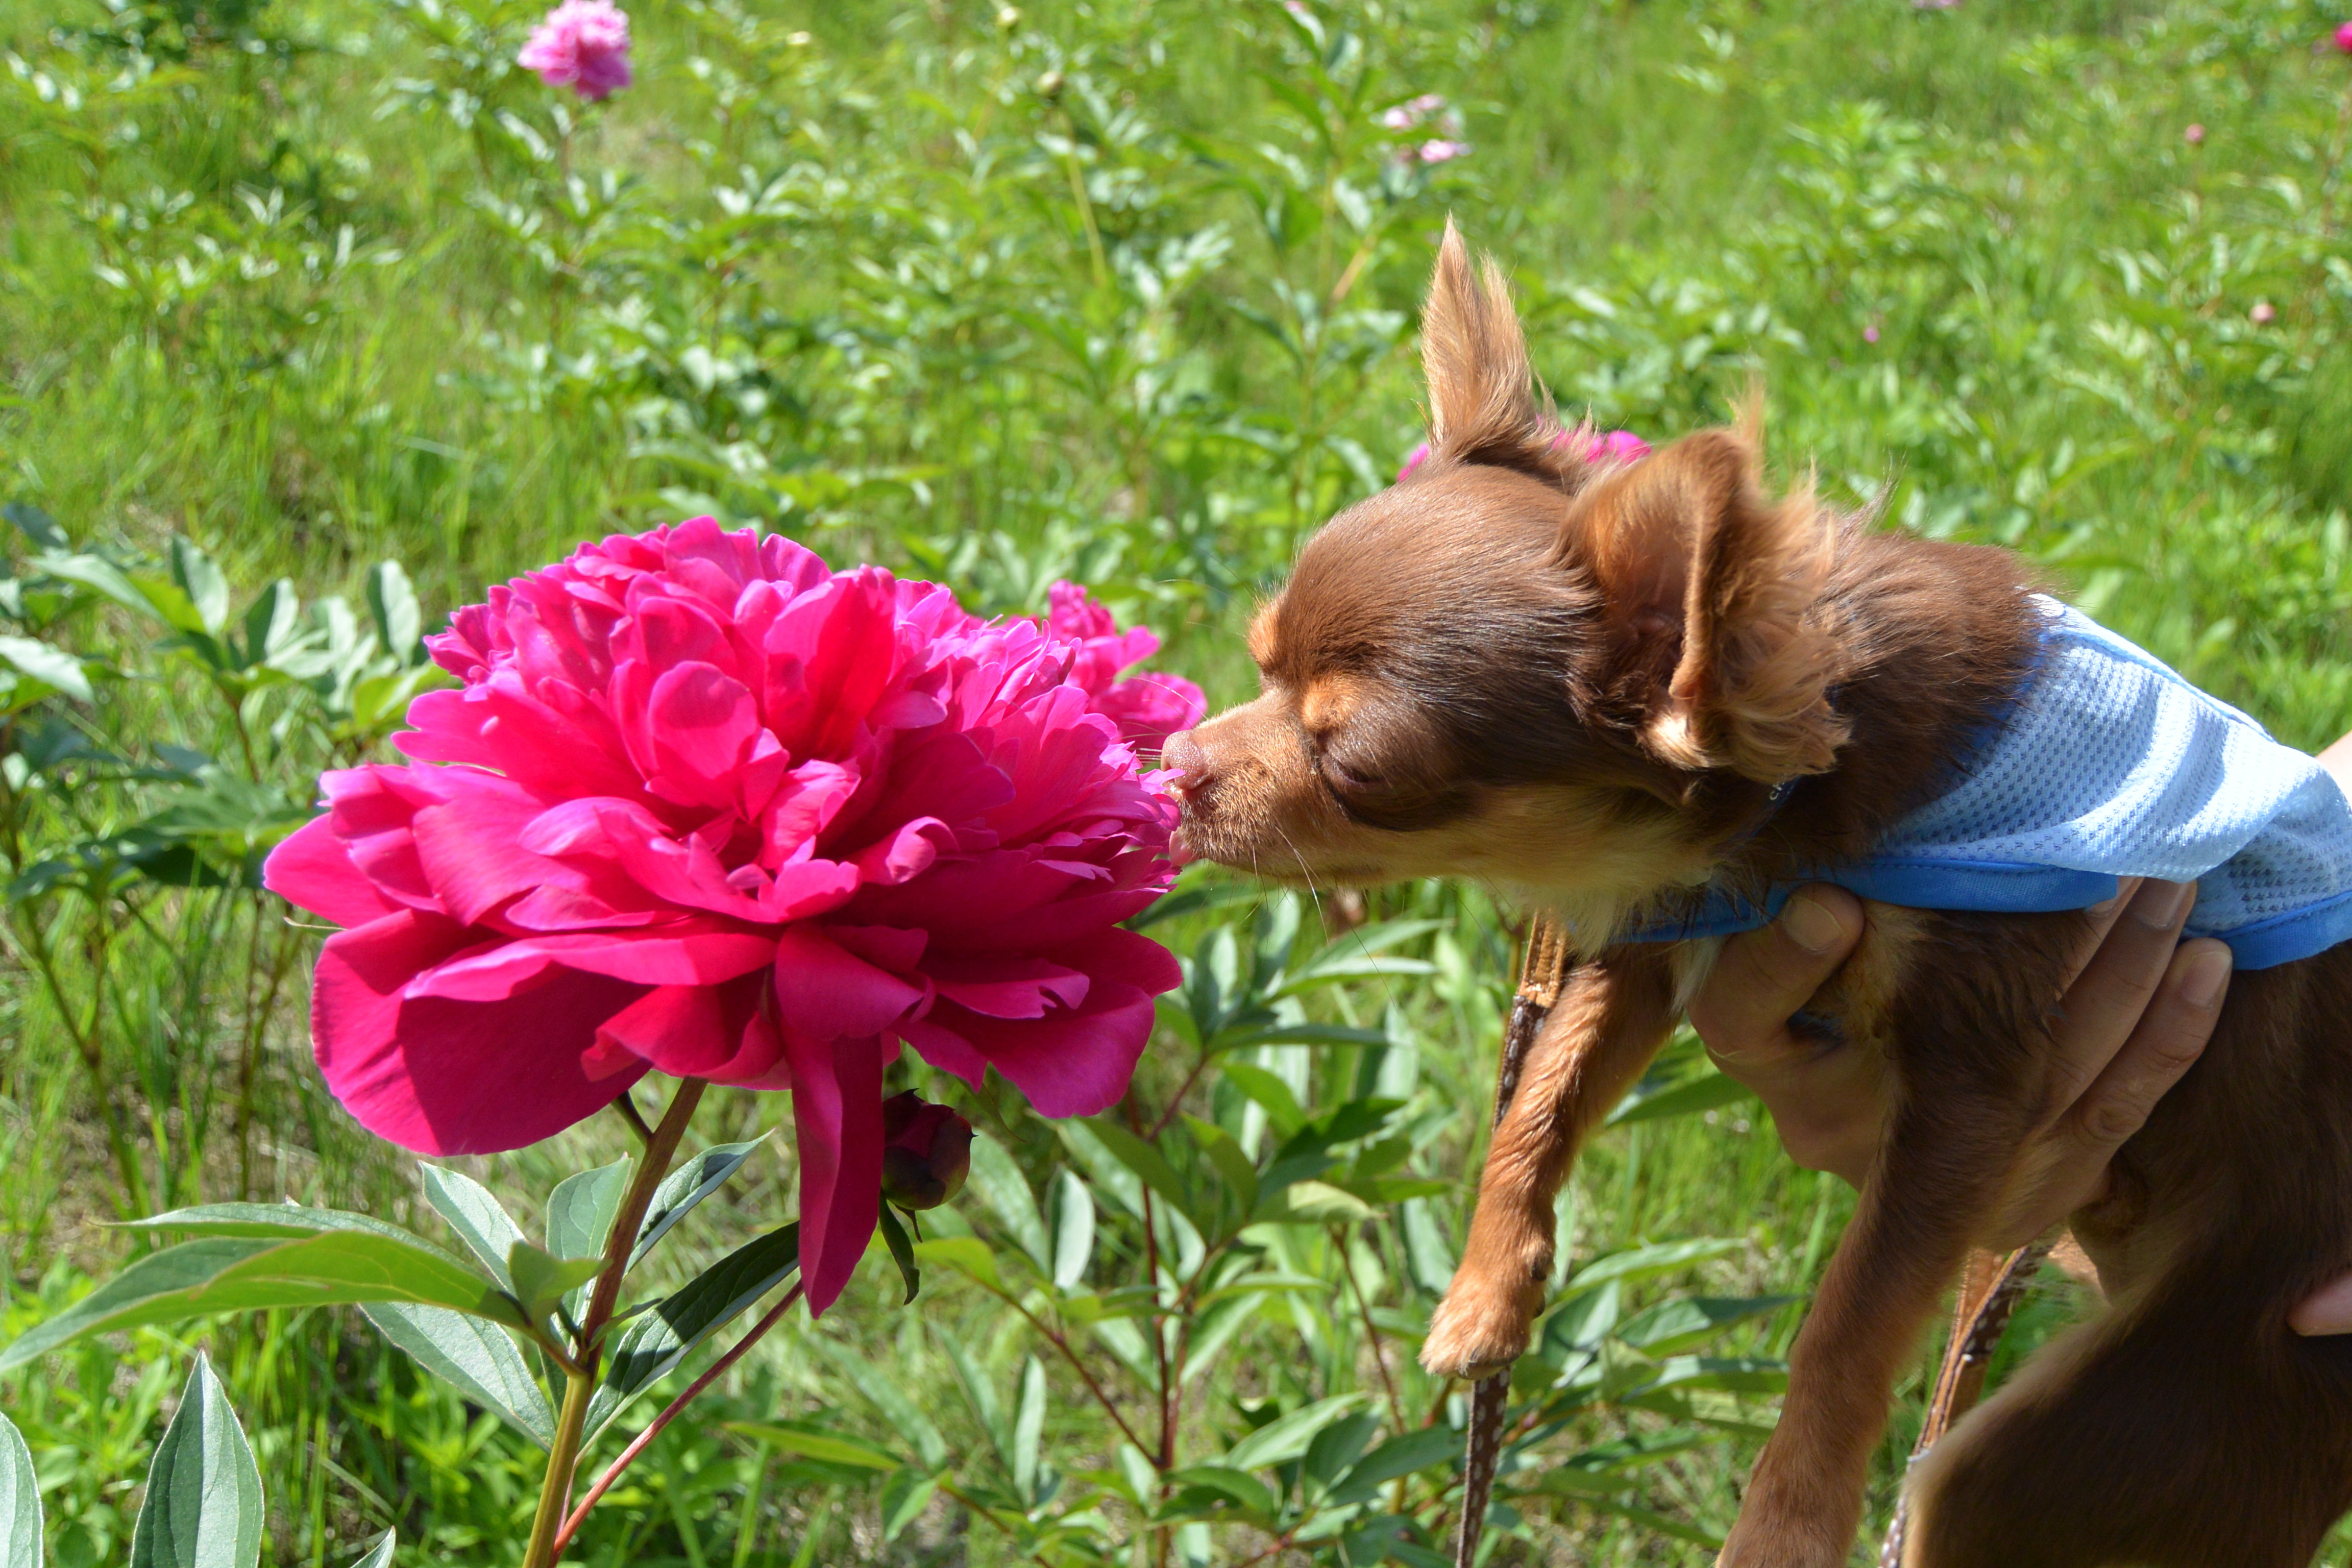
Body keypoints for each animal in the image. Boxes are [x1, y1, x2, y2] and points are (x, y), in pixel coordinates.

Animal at [1166, 223, 2352, 1568]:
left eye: (1360, 768)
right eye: (1258, 663)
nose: (1176, 764)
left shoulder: (1975, 1074)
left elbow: (1847, 1321)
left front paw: (1788, 1516)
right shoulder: (1657, 942)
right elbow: (1539, 1104)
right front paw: (1484, 1298)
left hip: (2101, 1433)